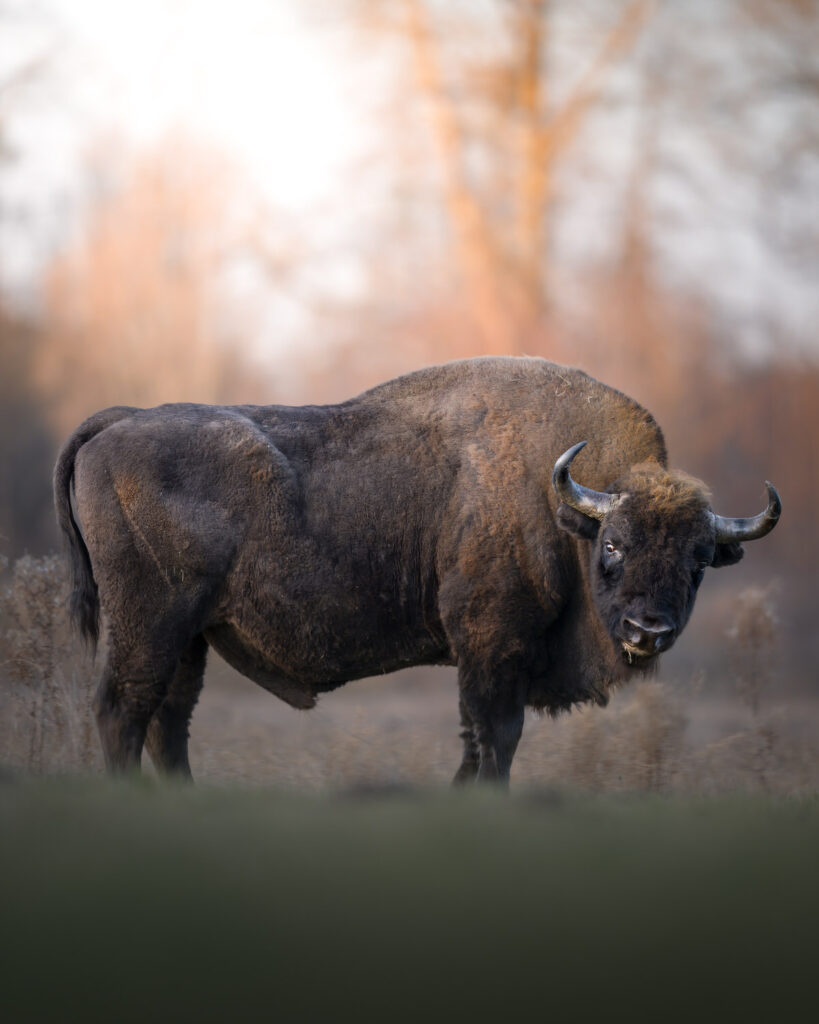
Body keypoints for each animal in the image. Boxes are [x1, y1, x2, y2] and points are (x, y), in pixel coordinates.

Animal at [54, 357, 780, 784]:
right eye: (615, 546)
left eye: (697, 561)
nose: (646, 630)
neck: (559, 506)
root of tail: (120, 422)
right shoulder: (492, 651)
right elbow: (496, 738)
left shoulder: (479, 660)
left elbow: (474, 739)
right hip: (150, 626)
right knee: (123, 712)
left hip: (190, 638)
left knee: (167, 724)